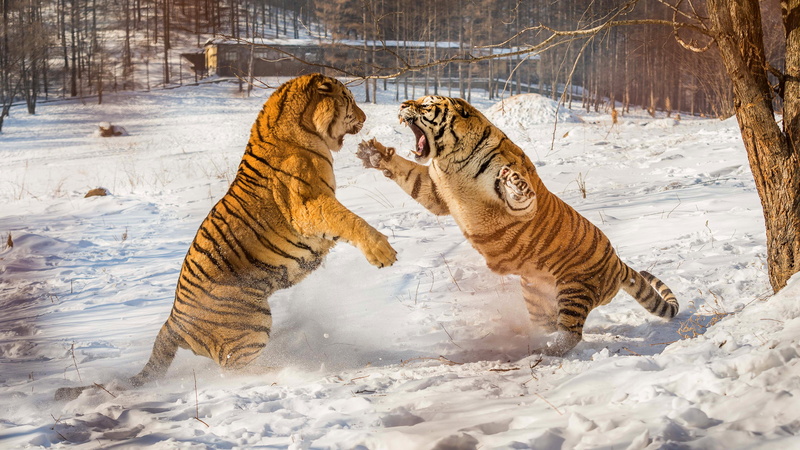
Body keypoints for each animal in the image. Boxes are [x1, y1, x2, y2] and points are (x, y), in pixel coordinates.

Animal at [55, 73, 396, 401]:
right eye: (349, 98)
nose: (365, 117)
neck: (302, 128)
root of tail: (171, 322)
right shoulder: (310, 206)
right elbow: (349, 220)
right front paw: (383, 253)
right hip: (251, 323)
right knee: (235, 369)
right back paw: (296, 367)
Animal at [355, 95, 678, 356]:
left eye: (425, 105)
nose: (402, 105)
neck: (449, 162)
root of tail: (618, 262)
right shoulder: (435, 192)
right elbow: (408, 173)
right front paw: (373, 153)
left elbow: (520, 195)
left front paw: (514, 182)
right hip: (537, 297)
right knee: (551, 325)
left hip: (575, 289)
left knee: (571, 334)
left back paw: (545, 350)